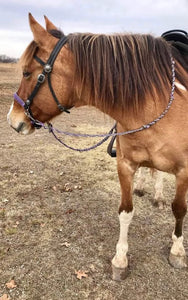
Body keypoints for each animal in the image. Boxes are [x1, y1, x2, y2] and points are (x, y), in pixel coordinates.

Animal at [6, 14, 187, 282]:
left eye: (27, 73)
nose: (12, 119)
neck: (156, 104)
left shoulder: (184, 171)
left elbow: (179, 210)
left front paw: (177, 250)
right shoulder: (125, 165)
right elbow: (126, 211)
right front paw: (120, 260)